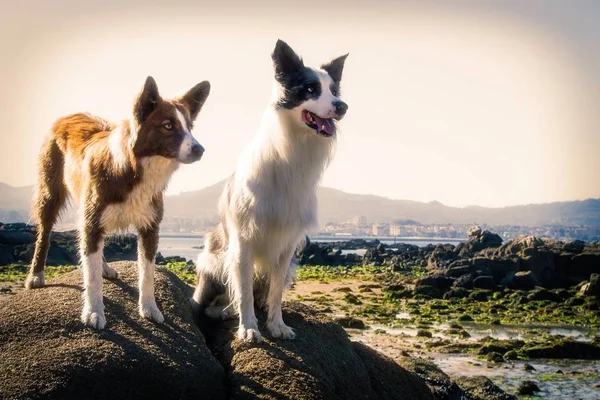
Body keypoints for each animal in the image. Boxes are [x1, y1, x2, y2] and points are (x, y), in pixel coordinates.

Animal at [25, 76, 211, 330]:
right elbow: (92, 278)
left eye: (189, 126)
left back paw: (104, 267)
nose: (200, 149)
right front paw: (93, 312)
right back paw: (36, 275)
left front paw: (149, 309)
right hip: (50, 194)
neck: (135, 169)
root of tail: (67, 115)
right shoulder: (92, 219)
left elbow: (147, 274)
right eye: (168, 126)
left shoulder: (150, 227)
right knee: (45, 233)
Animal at [192, 39, 350, 342]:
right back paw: (225, 311)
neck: (292, 152)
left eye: (334, 91)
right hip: (214, 259)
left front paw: (277, 325)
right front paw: (249, 328)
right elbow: (243, 292)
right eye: (310, 89)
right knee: (217, 301)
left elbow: (275, 291)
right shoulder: (243, 240)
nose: (342, 106)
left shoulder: (287, 244)